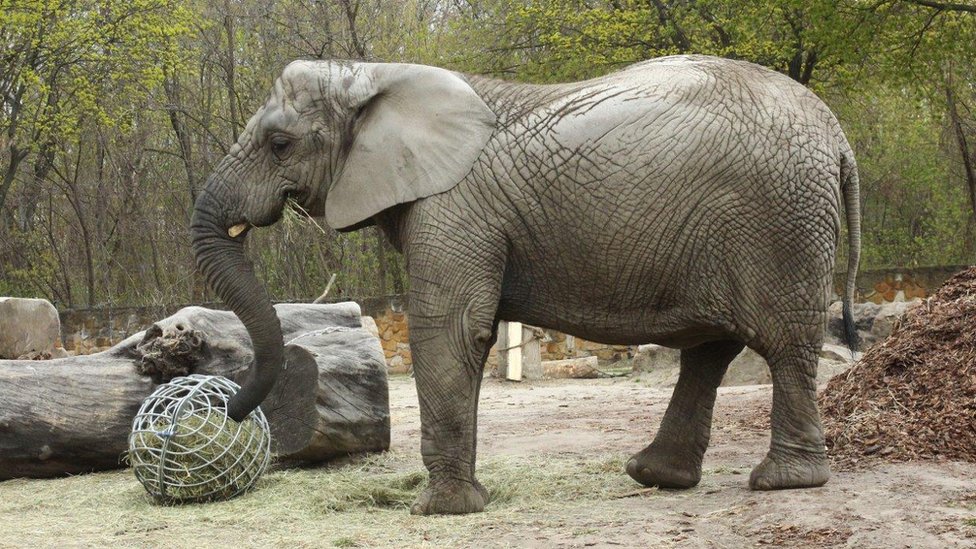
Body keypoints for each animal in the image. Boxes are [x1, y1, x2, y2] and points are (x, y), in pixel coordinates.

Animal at [191, 54, 860, 512]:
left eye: (280, 144)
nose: (229, 410)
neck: (377, 75)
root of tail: (839, 138)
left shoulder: (454, 206)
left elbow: (450, 331)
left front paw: (440, 511)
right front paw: (464, 503)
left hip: (778, 220)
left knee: (781, 344)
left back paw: (783, 482)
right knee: (711, 348)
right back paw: (656, 476)